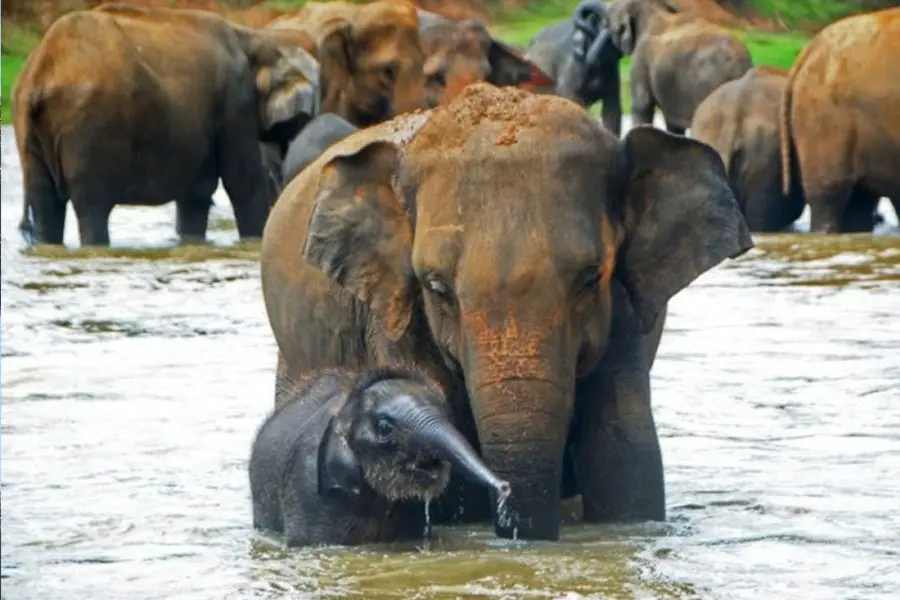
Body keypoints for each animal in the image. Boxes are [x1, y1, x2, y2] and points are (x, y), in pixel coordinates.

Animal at [12, 3, 318, 247]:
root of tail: (41, 70)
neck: (257, 39)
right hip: (90, 124)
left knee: (45, 203)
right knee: (92, 206)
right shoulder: (236, 101)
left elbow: (196, 196)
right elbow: (243, 183)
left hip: (32, 131)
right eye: (302, 120)